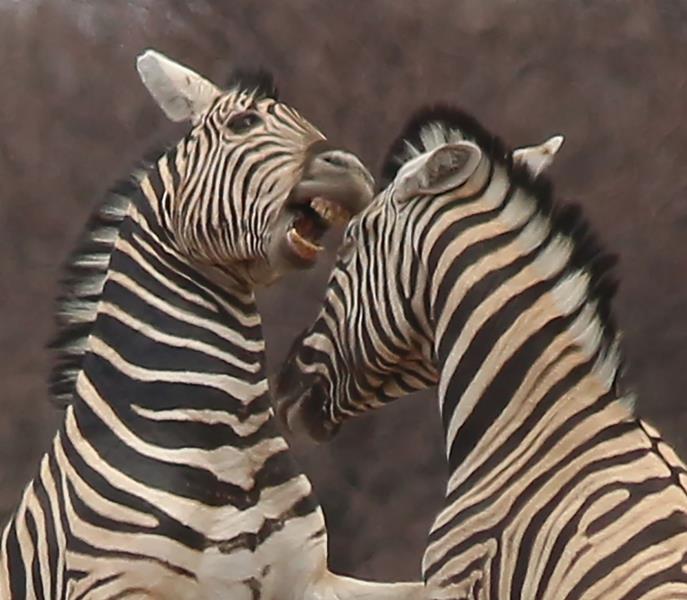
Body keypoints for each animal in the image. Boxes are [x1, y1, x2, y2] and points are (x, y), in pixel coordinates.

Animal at [0, 49, 424, 600]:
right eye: (244, 123)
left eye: (309, 121)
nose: (350, 168)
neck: (229, 441)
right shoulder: (114, 586)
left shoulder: (310, 579)